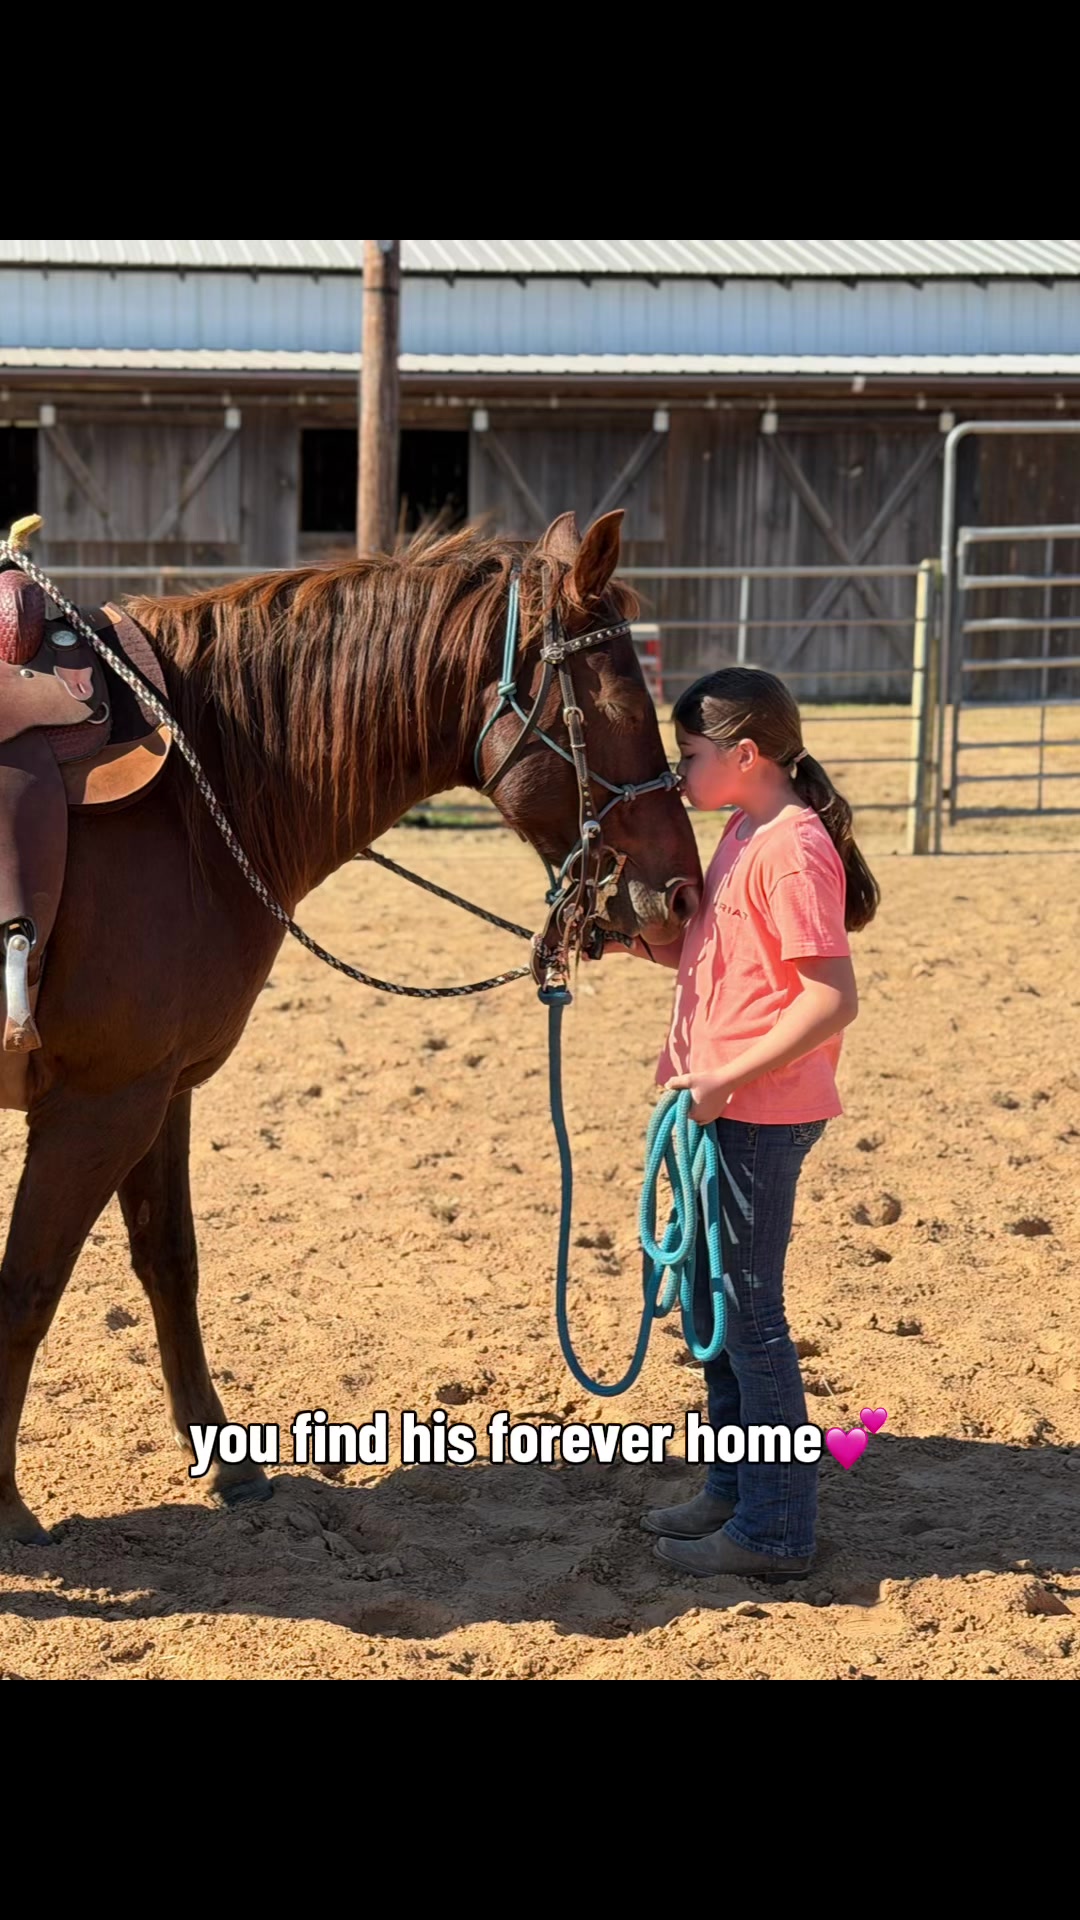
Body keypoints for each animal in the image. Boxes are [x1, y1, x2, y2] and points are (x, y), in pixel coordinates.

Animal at [0, 507, 703, 1544]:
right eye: (618, 707)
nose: (680, 897)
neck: (199, 791)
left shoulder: (156, 1094)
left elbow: (170, 1262)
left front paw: (227, 1464)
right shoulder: (97, 1106)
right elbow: (29, 1288)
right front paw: (7, 1505)